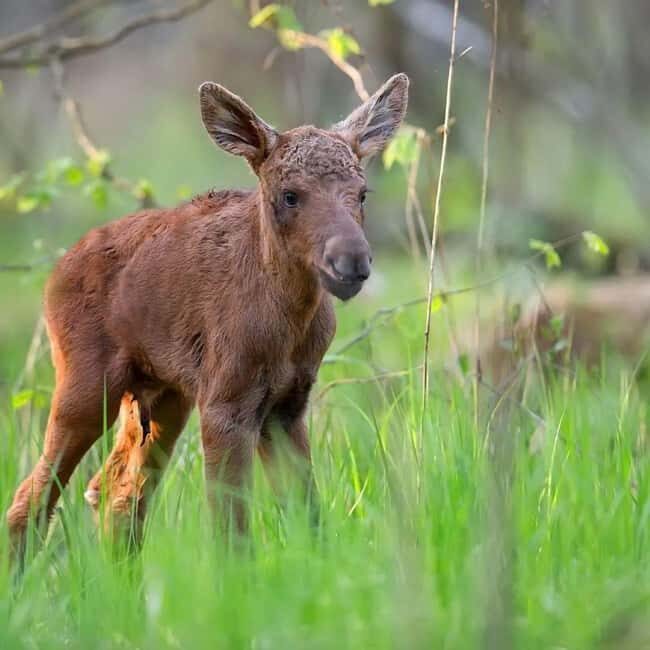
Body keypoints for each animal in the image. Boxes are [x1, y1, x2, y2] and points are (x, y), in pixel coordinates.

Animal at [6, 73, 409, 557]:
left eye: (362, 193)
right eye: (290, 195)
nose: (351, 261)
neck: (289, 324)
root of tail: (56, 272)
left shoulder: (287, 406)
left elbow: (308, 516)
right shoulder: (225, 403)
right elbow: (231, 529)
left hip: (161, 397)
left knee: (115, 494)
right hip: (86, 386)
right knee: (33, 497)